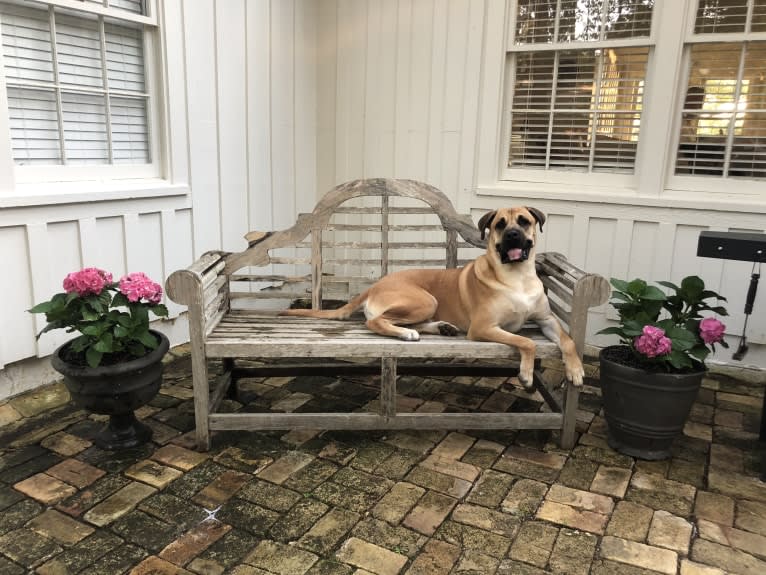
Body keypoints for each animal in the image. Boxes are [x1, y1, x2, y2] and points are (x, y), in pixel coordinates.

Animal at [280, 207, 584, 388]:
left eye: (524, 221)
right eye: (499, 224)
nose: (512, 235)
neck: (517, 276)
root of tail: (376, 284)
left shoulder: (546, 320)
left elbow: (568, 341)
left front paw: (575, 370)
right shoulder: (483, 327)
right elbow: (526, 342)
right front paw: (527, 372)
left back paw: (442, 328)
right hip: (425, 300)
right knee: (375, 322)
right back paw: (407, 334)